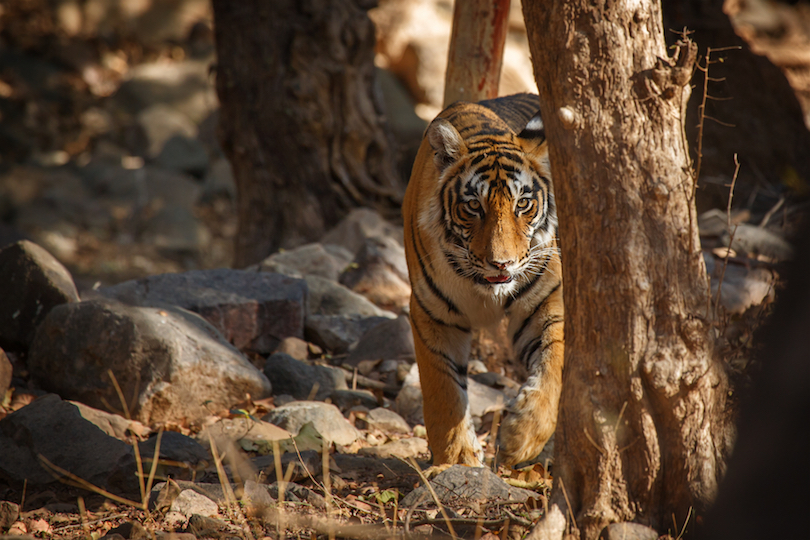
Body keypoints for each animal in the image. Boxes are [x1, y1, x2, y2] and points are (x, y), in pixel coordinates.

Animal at [400, 93, 560, 468]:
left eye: (524, 204)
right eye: (473, 206)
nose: (501, 262)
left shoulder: (546, 301)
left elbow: (554, 368)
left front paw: (521, 438)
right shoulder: (432, 314)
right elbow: (442, 388)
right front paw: (457, 457)